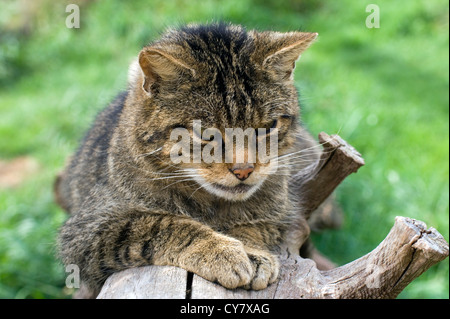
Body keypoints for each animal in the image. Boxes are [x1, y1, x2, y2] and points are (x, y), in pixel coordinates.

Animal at [55, 23, 324, 300]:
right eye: (205, 133)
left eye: (268, 127)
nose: (244, 170)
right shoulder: (87, 231)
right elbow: (163, 224)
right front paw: (222, 251)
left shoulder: (282, 212)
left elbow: (255, 226)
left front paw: (251, 251)